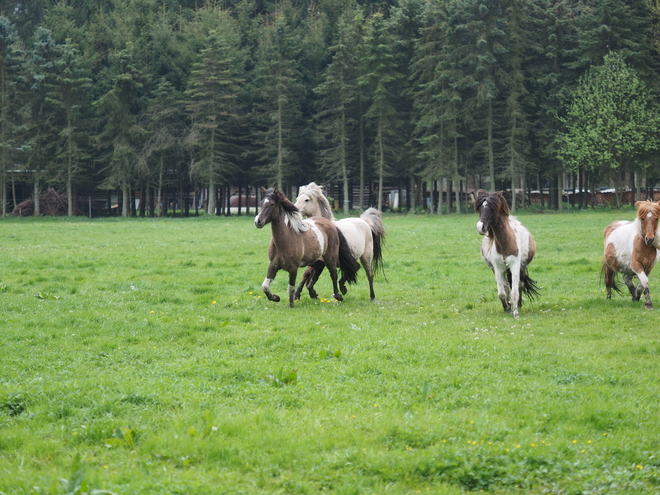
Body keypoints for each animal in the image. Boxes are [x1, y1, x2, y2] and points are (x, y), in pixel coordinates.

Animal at [474, 190, 540, 318]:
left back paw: (518, 305)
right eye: (480, 208)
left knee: (520, 285)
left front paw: (515, 312)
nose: (480, 227)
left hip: (521, 268)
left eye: (492, 208)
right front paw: (507, 307)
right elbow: (502, 292)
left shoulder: (515, 266)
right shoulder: (498, 268)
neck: (505, 243)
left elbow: (515, 290)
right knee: (505, 286)